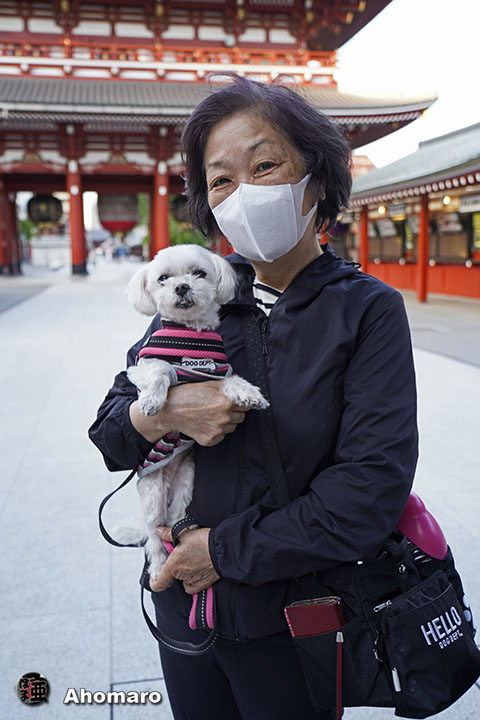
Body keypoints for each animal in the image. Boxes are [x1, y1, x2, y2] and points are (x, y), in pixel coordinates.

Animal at [114, 244, 268, 580]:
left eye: (198, 273)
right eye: (163, 278)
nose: (182, 287)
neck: (191, 337)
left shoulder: (220, 372)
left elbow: (234, 380)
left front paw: (250, 394)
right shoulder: (142, 367)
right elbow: (160, 371)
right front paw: (151, 401)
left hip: (185, 483)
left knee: (172, 522)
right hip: (153, 493)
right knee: (153, 537)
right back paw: (160, 567)